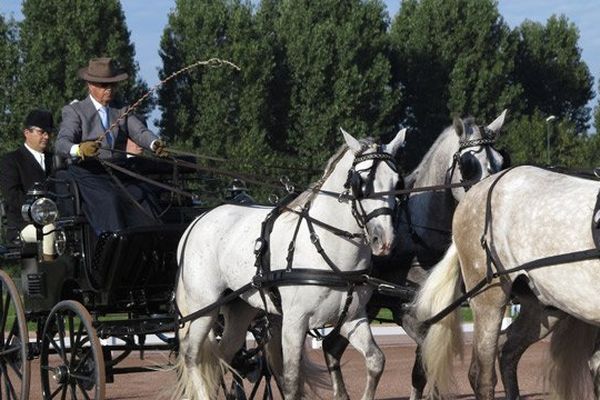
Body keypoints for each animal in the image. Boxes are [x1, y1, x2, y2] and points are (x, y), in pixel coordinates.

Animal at [173, 129, 408, 400]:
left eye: (397, 183)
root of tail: (197, 221)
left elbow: (375, 360)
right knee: (192, 355)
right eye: (361, 182)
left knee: (221, 357)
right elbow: (292, 381)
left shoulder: (353, 318)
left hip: (239, 308)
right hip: (204, 306)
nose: (385, 241)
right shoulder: (295, 321)